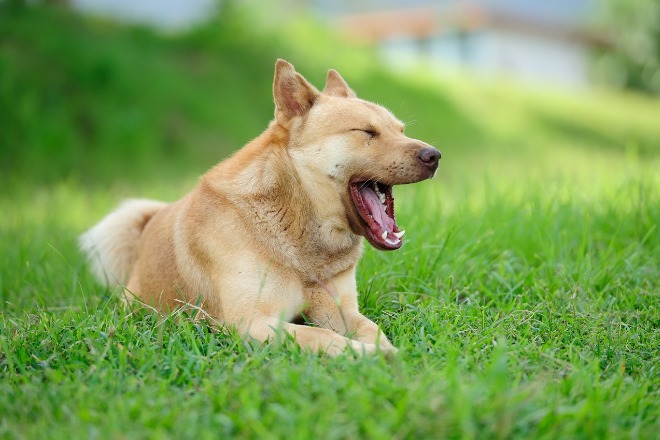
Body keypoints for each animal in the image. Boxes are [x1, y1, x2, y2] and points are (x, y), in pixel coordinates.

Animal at [80, 60, 440, 356]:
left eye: (401, 130)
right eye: (367, 131)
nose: (434, 155)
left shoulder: (337, 309)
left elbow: (369, 327)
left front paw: (383, 349)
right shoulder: (251, 323)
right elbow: (322, 337)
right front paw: (367, 355)